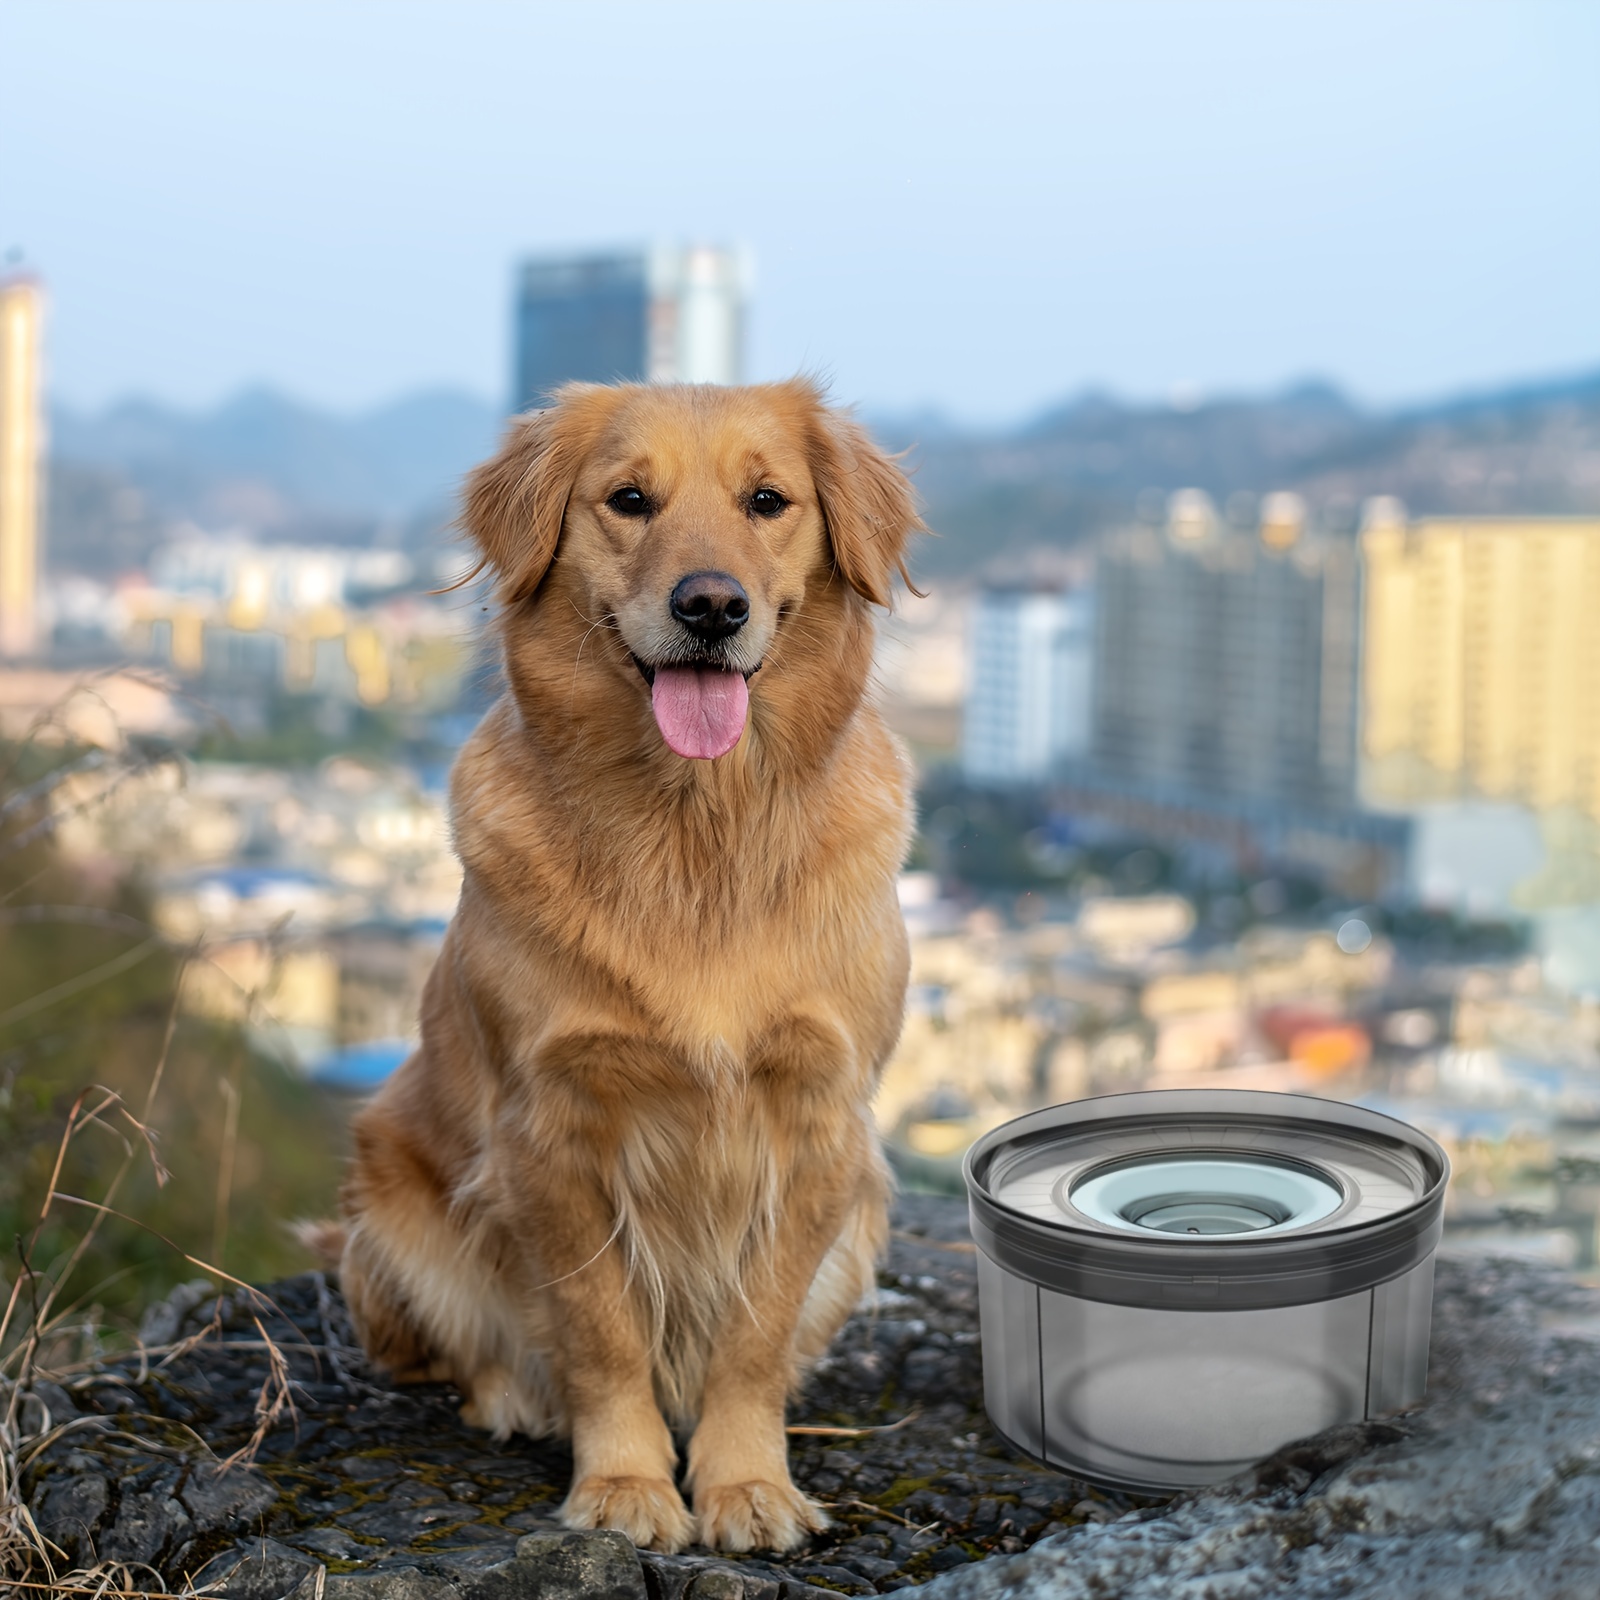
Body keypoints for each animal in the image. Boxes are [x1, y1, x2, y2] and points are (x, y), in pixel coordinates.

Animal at [310, 374, 921, 1548]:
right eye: (629, 500)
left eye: (768, 500)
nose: (711, 607)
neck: (695, 829)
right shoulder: (548, 1130)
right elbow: (598, 1332)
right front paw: (626, 1484)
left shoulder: (822, 1125)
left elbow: (753, 1336)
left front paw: (746, 1484)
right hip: (383, 1205)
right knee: (466, 1352)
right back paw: (514, 1394)